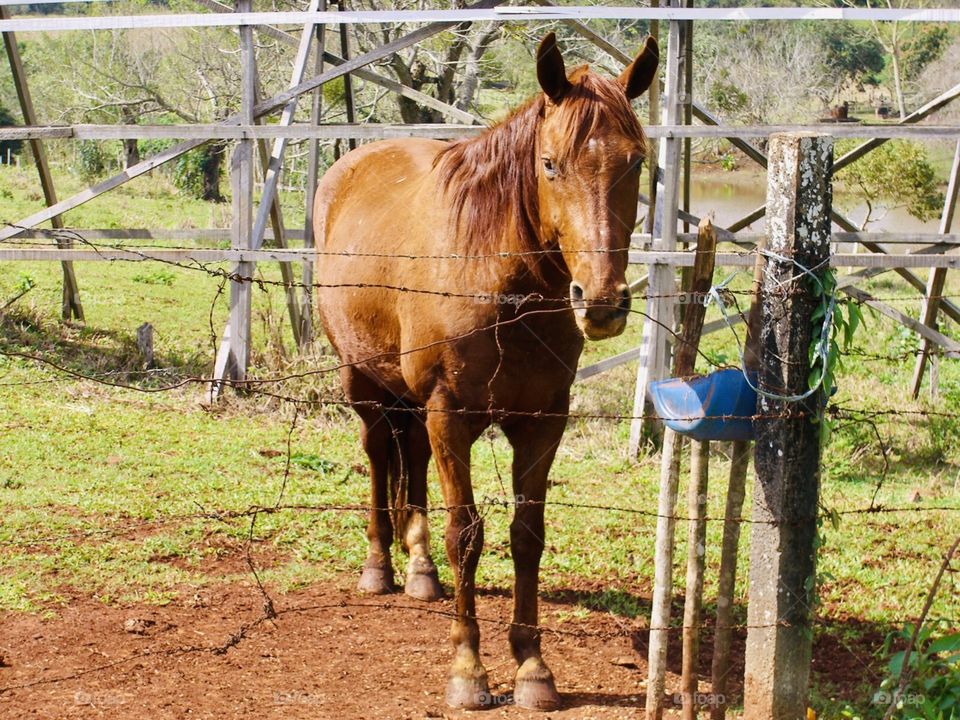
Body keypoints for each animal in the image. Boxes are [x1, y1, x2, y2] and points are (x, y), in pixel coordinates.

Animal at [313, 32, 658, 710]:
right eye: (550, 164)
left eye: (636, 163)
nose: (602, 302)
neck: (502, 284)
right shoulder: (451, 414)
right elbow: (467, 535)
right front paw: (469, 671)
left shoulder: (542, 420)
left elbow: (527, 534)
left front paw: (532, 668)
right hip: (362, 382)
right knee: (378, 453)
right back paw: (380, 567)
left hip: (413, 403)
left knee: (411, 456)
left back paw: (420, 571)